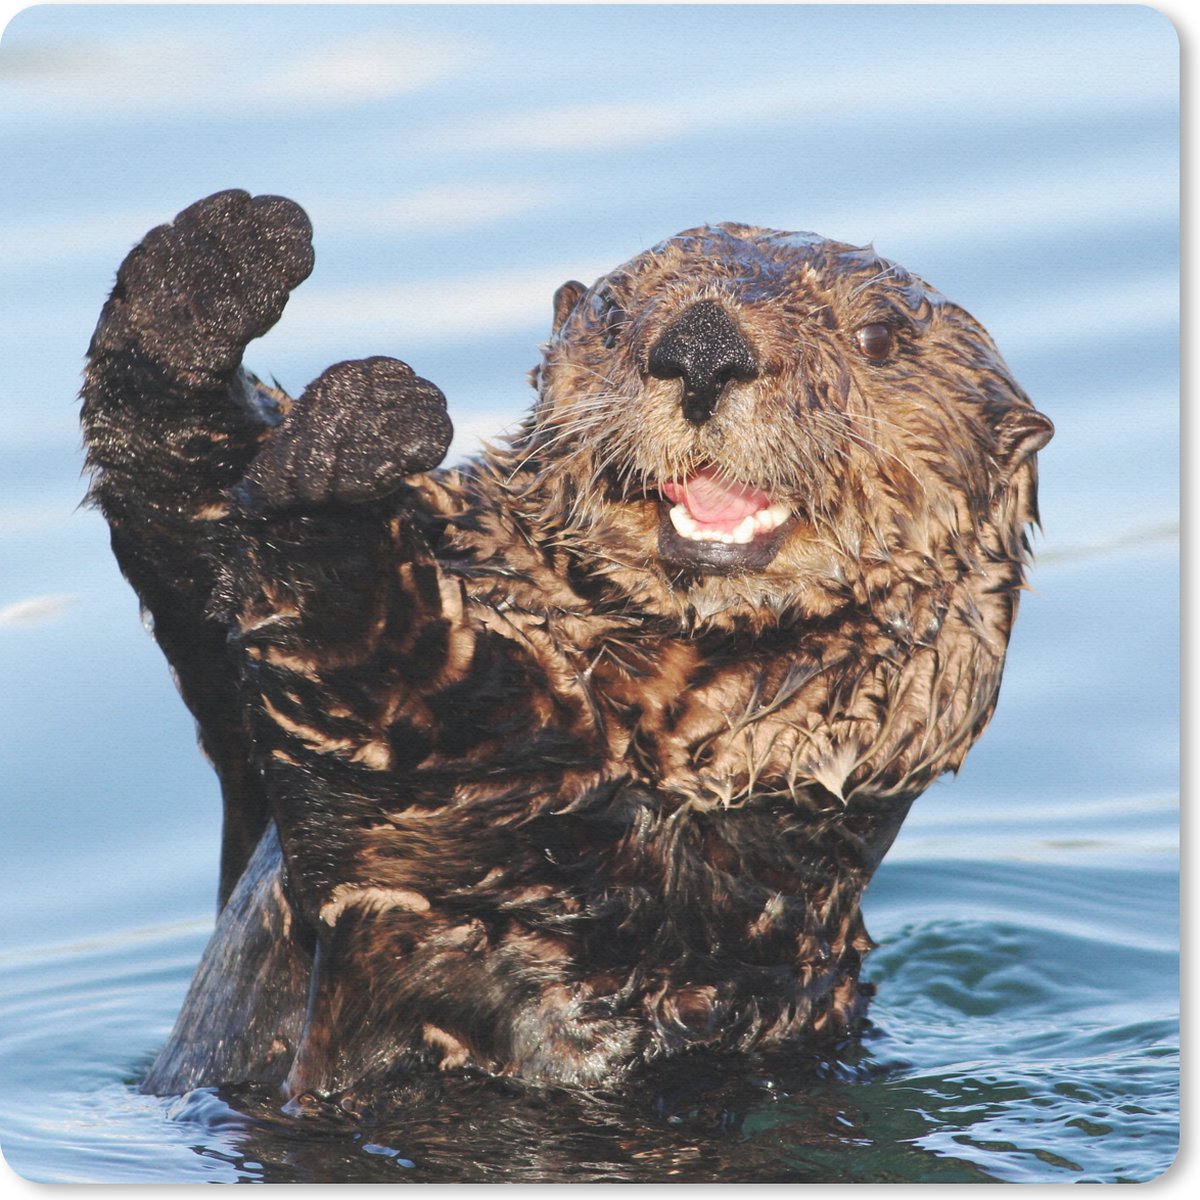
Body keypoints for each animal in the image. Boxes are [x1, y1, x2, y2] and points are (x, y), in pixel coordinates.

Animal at [81, 190, 1051, 1101]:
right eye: (617, 315)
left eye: (878, 335)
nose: (703, 347)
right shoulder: (246, 749)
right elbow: (191, 536)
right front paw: (213, 268)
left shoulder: (547, 852)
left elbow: (397, 693)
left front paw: (344, 449)